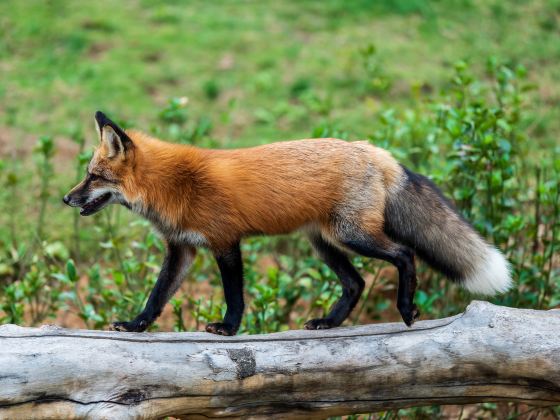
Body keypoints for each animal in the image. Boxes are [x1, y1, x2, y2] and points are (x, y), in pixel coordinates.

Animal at [62, 111, 512, 334]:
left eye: (93, 177)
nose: (66, 198)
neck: (174, 184)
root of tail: (372, 149)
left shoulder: (225, 242)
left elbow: (235, 296)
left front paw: (229, 329)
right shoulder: (182, 249)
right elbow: (156, 297)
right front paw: (135, 325)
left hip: (353, 235)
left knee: (404, 255)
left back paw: (404, 308)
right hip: (324, 243)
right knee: (356, 283)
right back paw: (329, 322)